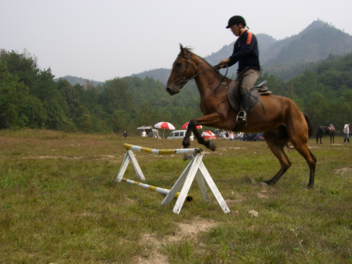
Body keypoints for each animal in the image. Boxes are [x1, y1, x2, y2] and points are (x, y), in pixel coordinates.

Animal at [165, 46, 316, 189]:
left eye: (178, 64)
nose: (169, 89)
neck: (214, 88)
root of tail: (300, 111)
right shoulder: (212, 118)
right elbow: (194, 125)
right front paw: (207, 144)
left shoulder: (221, 119)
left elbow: (192, 122)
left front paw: (188, 146)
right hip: (273, 140)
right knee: (286, 163)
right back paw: (269, 182)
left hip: (297, 139)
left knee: (311, 159)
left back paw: (310, 185)